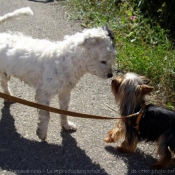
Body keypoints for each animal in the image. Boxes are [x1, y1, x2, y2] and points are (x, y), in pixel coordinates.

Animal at [0, 7, 116, 141]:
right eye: (103, 61)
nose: (110, 75)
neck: (66, 60)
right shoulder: (43, 93)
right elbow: (46, 114)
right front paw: (42, 132)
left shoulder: (65, 92)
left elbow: (64, 111)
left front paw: (66, 125)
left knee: (4, 84)